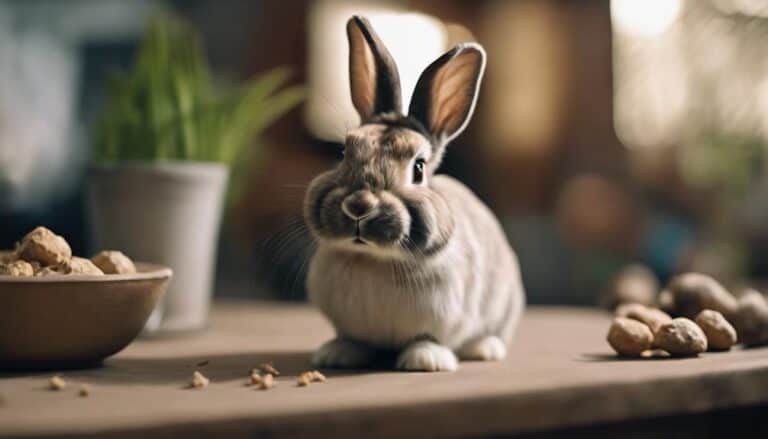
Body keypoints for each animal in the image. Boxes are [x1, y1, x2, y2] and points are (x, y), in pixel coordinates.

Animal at [303, 16, 525, 372]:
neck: (374, 261)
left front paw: (426, 360)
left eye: (419, 168)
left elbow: (428, 338)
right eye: (344, 152)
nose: (358, 206)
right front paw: (336, 354)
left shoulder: (445, 316)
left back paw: (485, 349)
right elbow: (352, 338)